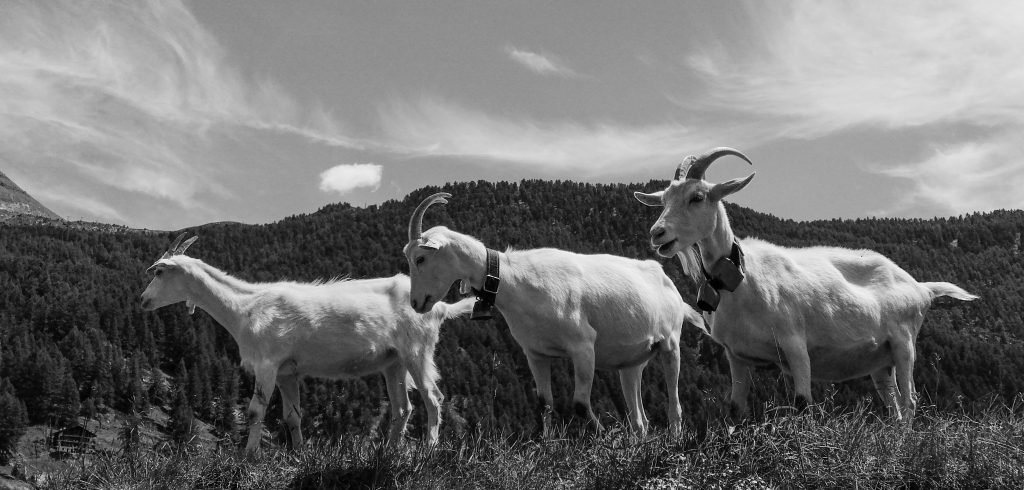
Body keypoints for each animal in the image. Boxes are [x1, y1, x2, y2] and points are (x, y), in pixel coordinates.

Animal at [140, 234, 475, 452]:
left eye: (160, 271)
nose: (143, 300)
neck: (246, 307)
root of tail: (440, 307)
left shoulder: (267, 364)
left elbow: (255, 411)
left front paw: (247, 458)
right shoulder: (288, 372)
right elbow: (292, 417)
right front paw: (299, 455)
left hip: (417, 351)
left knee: (433, 398)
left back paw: (428, 451)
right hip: (394, 362)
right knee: (403, 407)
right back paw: (390, 453)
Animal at [401, 192, 704, 437]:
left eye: (420, 258)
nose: (416, 302)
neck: (516, 280)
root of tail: (669, 284)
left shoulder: (583, 346)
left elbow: (580, 404)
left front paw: (604, 436)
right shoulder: (536, 353)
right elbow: (544, 404)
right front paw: (545, 443)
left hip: (670, 343)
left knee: (674, 403)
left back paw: (675, 437)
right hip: (631, 363)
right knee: (640, 419)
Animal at [630, 146, 974, 421]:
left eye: (697, 197)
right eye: (663, 200)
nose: (657, 234)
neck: (744, 279)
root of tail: (921, 288)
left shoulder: (795, 344)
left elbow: (802, 403)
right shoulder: (737, 356)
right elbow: (736, 409)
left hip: (904, 343)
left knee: (910, 401)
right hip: (880, 360)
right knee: (894, 406)